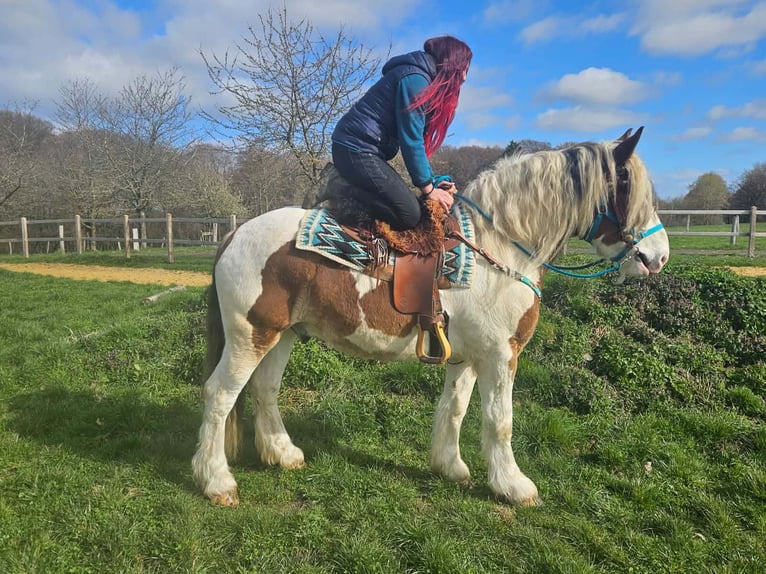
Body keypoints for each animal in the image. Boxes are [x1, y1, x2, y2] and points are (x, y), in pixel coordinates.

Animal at [192, 127, 669, 507]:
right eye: (627, 187)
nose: (658, 257)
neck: (500, 246)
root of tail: (236, 233)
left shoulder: (468, 357)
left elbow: (454, 408)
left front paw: (450, 466)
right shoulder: (501, 356)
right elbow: (500, 422)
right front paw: (513, 486)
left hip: (282, 334)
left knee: (265, 390)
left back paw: (283, 453)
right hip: (250, 335)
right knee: (219, 395)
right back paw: (217, 481)